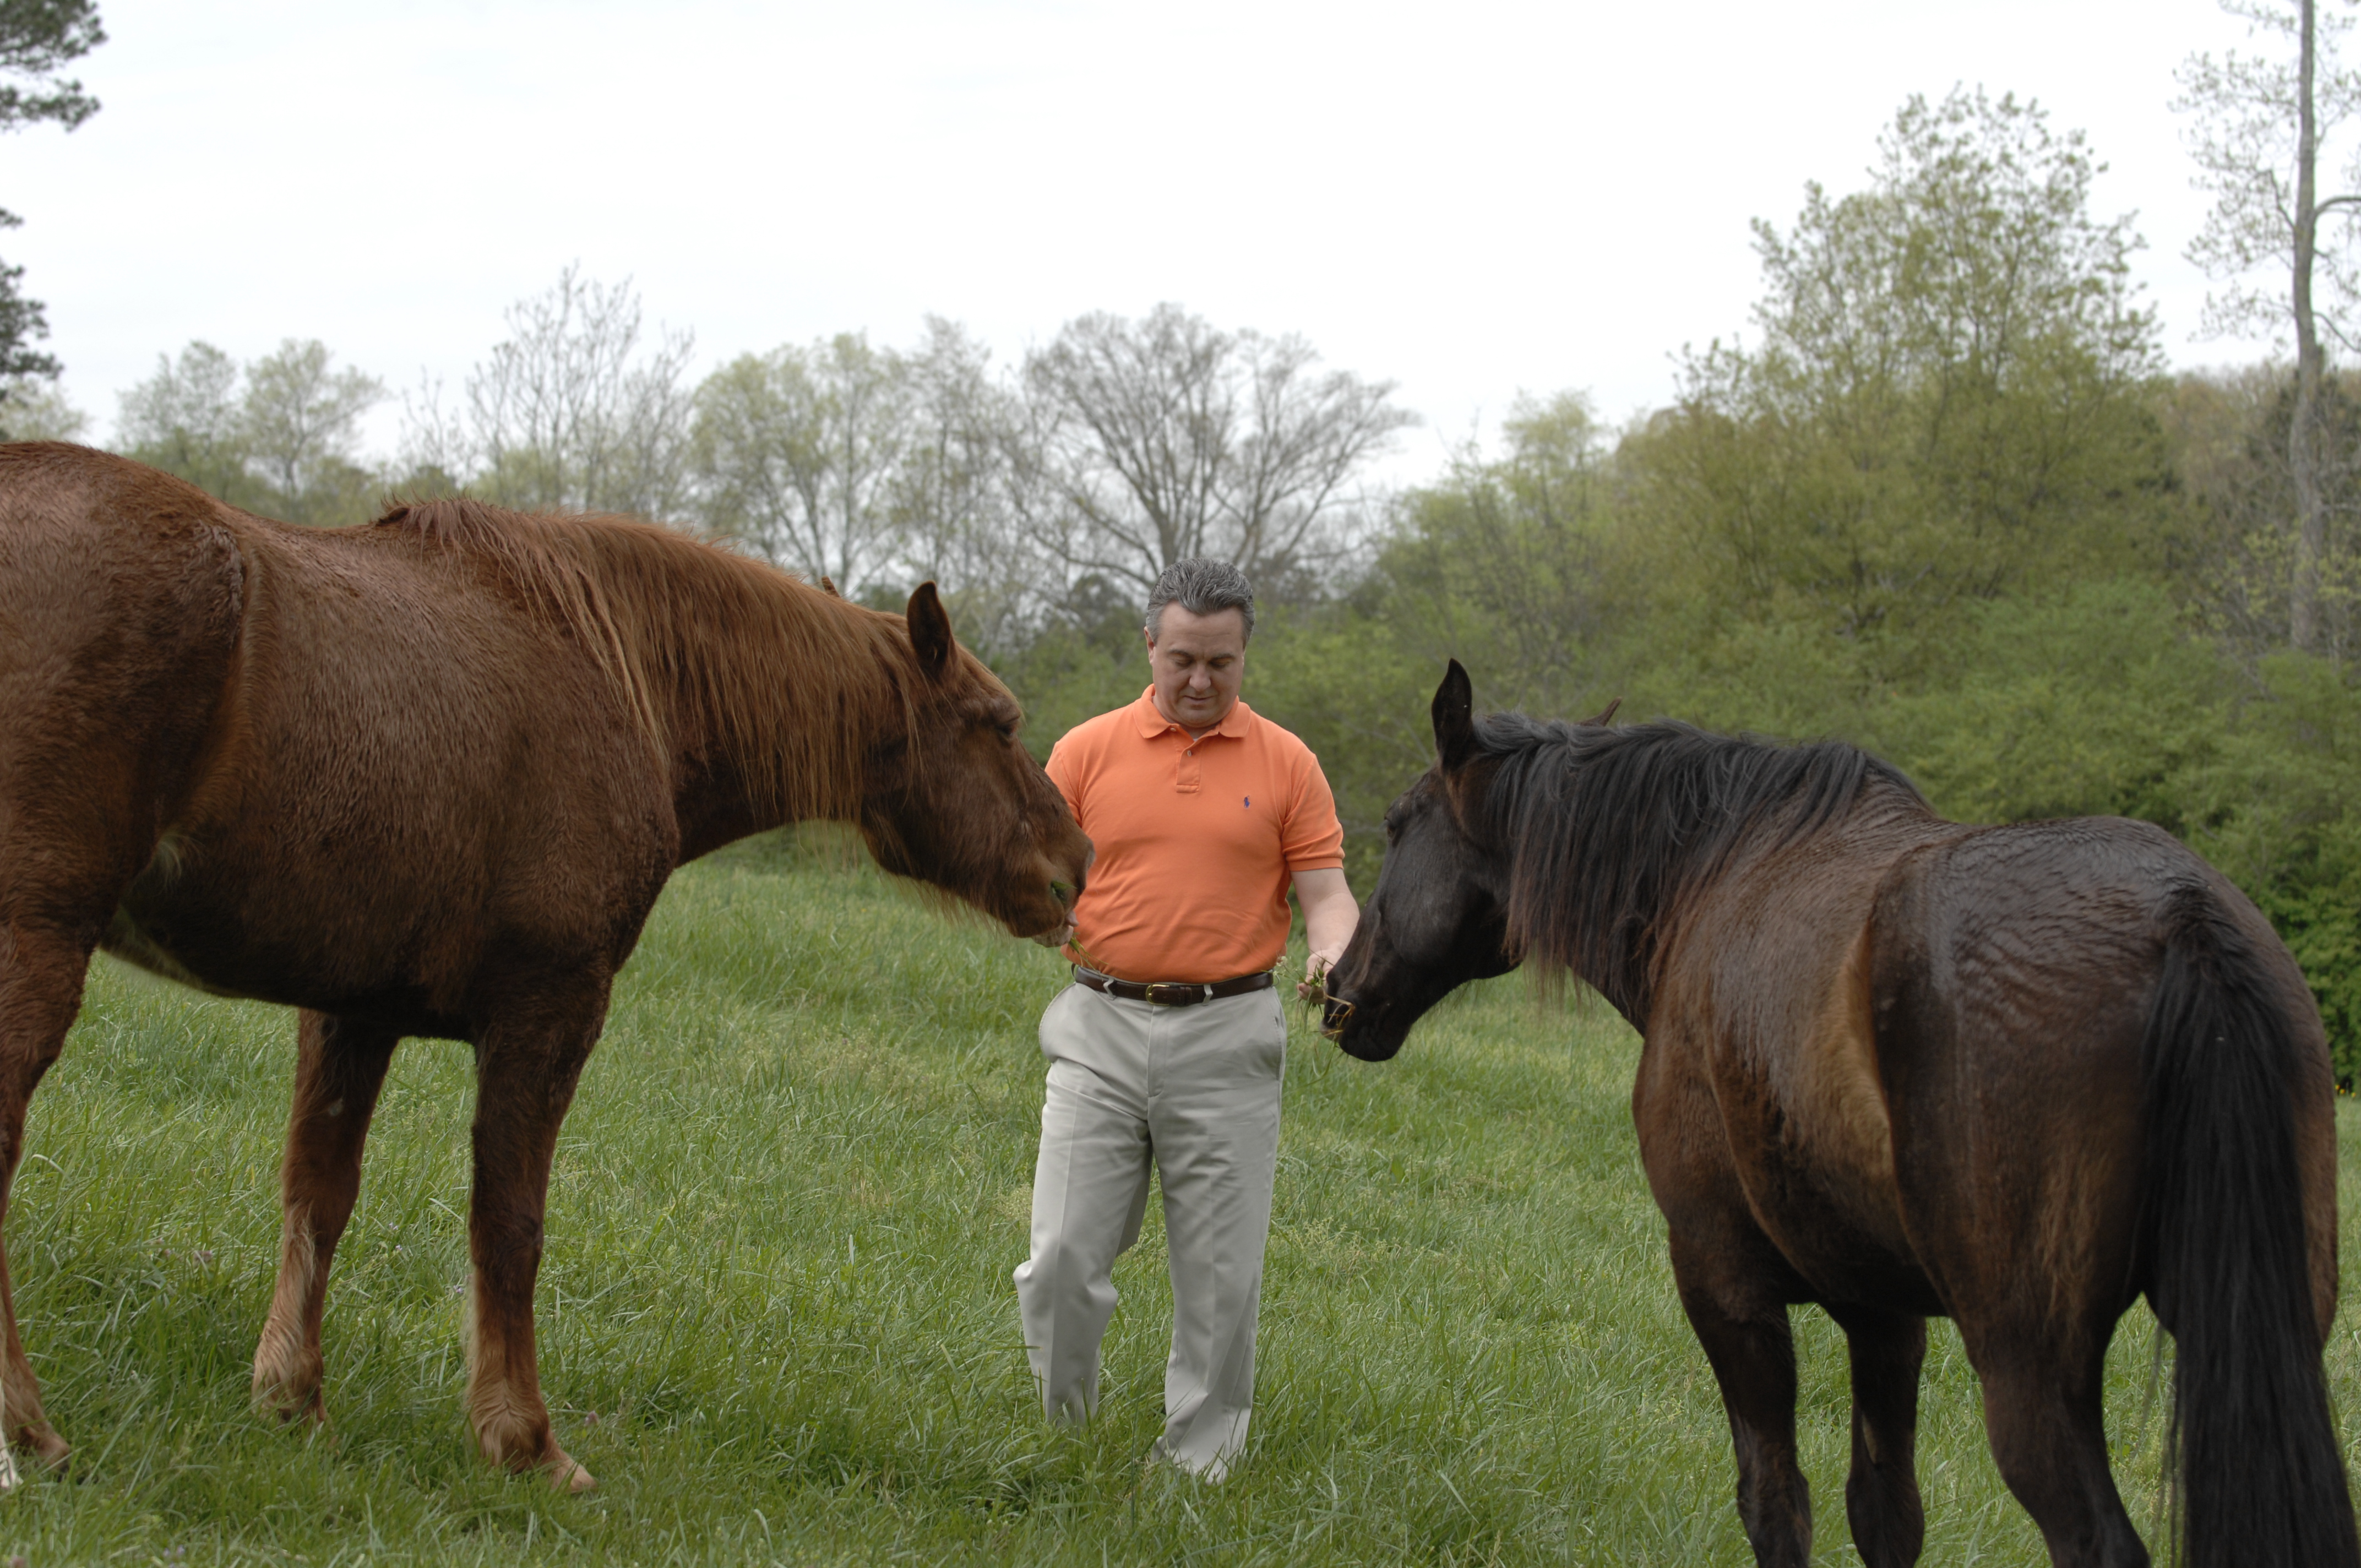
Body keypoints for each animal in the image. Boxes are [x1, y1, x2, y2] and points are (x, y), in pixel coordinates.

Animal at [0, 444, 1086, 1492]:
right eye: (998, 721)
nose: (1074, 862)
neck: (619, 673)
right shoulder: (548, 1010)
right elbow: (510, 1222)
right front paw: (523, 1439)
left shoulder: (353, 1010)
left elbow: (320, 1192)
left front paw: (292, 1399)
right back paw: (32, 1434)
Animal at [1331, 656, 2361, 1567]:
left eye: (1397, 822)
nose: (1339, 990)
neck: (1715, 874)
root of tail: (2180, 916)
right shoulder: (1882, 1313)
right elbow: (1885, 1513)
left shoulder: (1722, 1281)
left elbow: (1774, 1503)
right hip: (2265, 1339)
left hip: (2031, 1366)